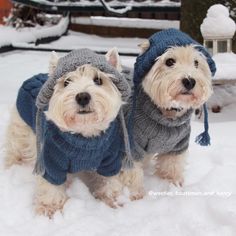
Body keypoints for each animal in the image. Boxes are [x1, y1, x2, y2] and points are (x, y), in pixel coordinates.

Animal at [5, 48, 135, 218]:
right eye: (66, 82)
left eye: (98, 80)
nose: (83, 96)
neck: (85, 137)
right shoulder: (51, 161)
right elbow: (51, 187)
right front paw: (50, 209)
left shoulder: (110, 159)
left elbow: (109, 180)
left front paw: (113, 200)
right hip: (21, 130)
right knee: (14, 149)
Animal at [122, 29, 217, 188]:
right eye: (169, 61)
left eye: (196, 63)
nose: (190, 81)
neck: (167, 115)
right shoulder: (132, 144)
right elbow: (132, 171)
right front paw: (134, 190)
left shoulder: (177, 146)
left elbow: (171, 166)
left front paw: (173, 184)